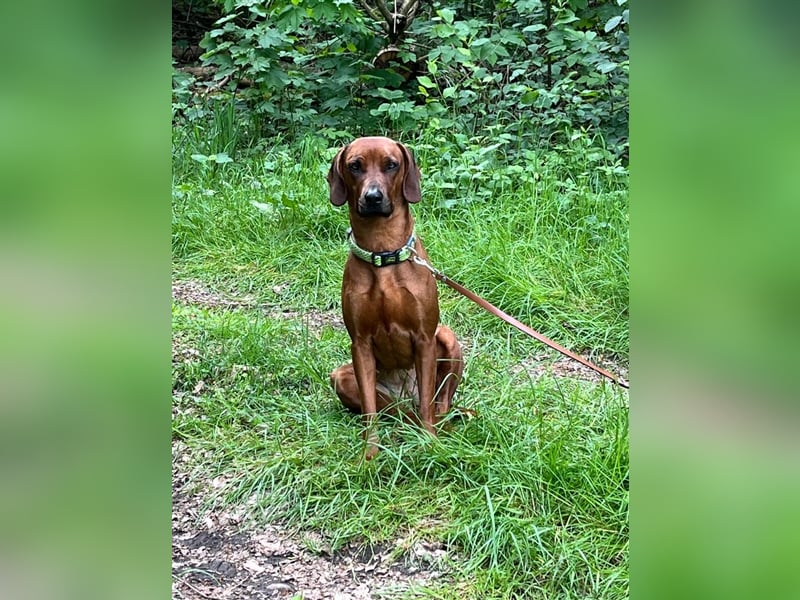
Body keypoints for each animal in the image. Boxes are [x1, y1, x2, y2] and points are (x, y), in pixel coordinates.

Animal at [326, 135, 462, 460]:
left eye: (391, 164)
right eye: (355, 166)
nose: (373, 197)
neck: (382, 251)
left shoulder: (424, 339)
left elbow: (428, 407)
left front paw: (431, 445)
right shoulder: (360, 344)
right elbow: (370, 412)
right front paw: (369, 456)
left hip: (448, 338)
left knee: (436, 406)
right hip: (342, 376)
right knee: (396, 411)